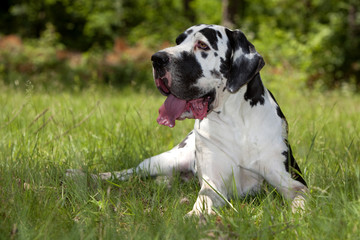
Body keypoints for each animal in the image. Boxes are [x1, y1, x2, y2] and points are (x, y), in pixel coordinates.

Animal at [67, 24, 306, 216]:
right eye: (178, 41)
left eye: (202, 45)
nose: (157, 58)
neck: (236, 122)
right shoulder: (213, 183)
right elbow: (204, 199)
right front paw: (197, 216)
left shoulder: (292, 180)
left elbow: (301, 198)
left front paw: (298, 218)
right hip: (164, 159)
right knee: (127, 172)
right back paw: (82, 175)